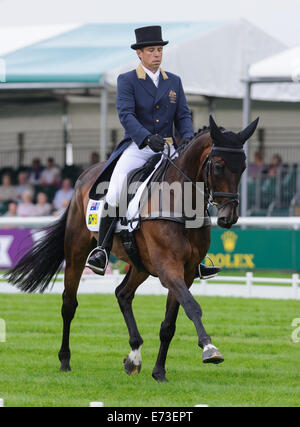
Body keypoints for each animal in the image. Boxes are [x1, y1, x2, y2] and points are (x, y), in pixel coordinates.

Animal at [4, 115, 258, 382]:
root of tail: (85, 175)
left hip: (140, 264)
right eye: (219, 166)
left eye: (243, 167)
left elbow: (169, 325)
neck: (180, 203)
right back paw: (65, 360)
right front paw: (210, 349)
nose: (229, 217)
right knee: (69, 304)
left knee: (122, 294)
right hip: (76, 252)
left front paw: (159, 372)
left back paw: (134, 356)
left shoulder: (186, 272)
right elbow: (192, 306)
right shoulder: (169, 268)